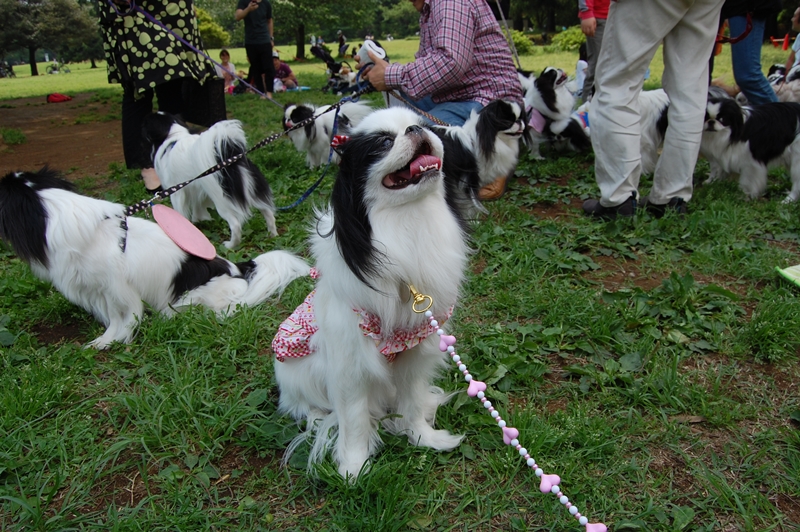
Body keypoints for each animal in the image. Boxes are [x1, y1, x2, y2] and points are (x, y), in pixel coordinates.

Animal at [0, 167, 310, 350]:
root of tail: (238, 267)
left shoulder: (116, 290)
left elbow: (120, 319)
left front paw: (107, 342)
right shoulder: (100, 291)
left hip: (190, 298)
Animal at [143, 112, 278, 249]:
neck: (174, 136)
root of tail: (230, 155)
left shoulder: (176, 192)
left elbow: (180, 213)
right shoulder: (199, 190)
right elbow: (197, 207)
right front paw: (197, 221)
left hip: (222, 201)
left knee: (235, 225)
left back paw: (230, 245)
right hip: (252, 190)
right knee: (268, 212)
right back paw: (272, 235)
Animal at [272, 107, 468, 478]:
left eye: (428, 126)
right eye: (383, 143)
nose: (416, 128)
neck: (408, 222)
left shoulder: (414, 350)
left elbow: (411, 402)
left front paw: (422, 438)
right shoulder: (350, 362)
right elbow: (353, 418)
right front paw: (353, 467)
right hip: (305, 372)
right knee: (311, 408)